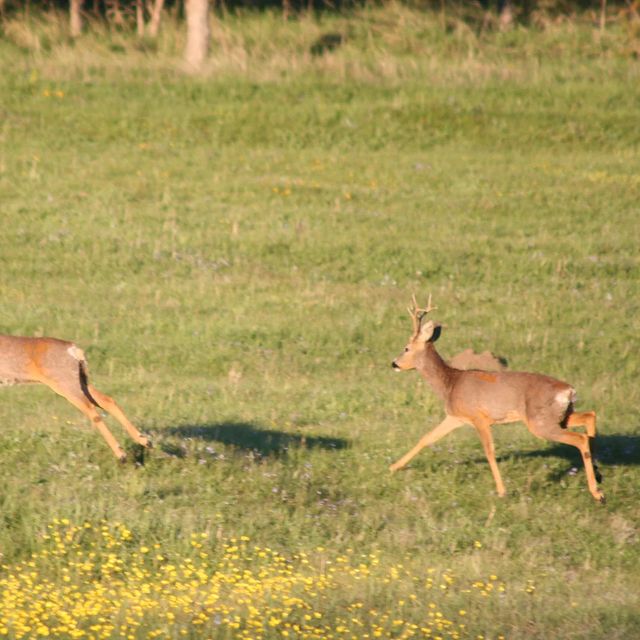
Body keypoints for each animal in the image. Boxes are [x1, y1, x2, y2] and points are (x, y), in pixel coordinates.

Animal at [0, 336, 151, 460]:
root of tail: (73, 349)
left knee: (92, 410)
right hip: (82, 381)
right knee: (107, 401)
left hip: (66, 384)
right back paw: (145, 441)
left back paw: (121, 454)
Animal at [388, 298, 604, 502]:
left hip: (540, 422)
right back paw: (598, 473)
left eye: (406, 348)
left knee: (580, 438)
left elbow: (489, 451)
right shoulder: (455, 417)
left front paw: (501, 491)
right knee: (590, 416)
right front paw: (393, 467)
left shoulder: (479, 418)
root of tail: (569, 391)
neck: (450, 383)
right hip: (561, 416)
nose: (394, 364)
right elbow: (427, 438)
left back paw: (597, 493)